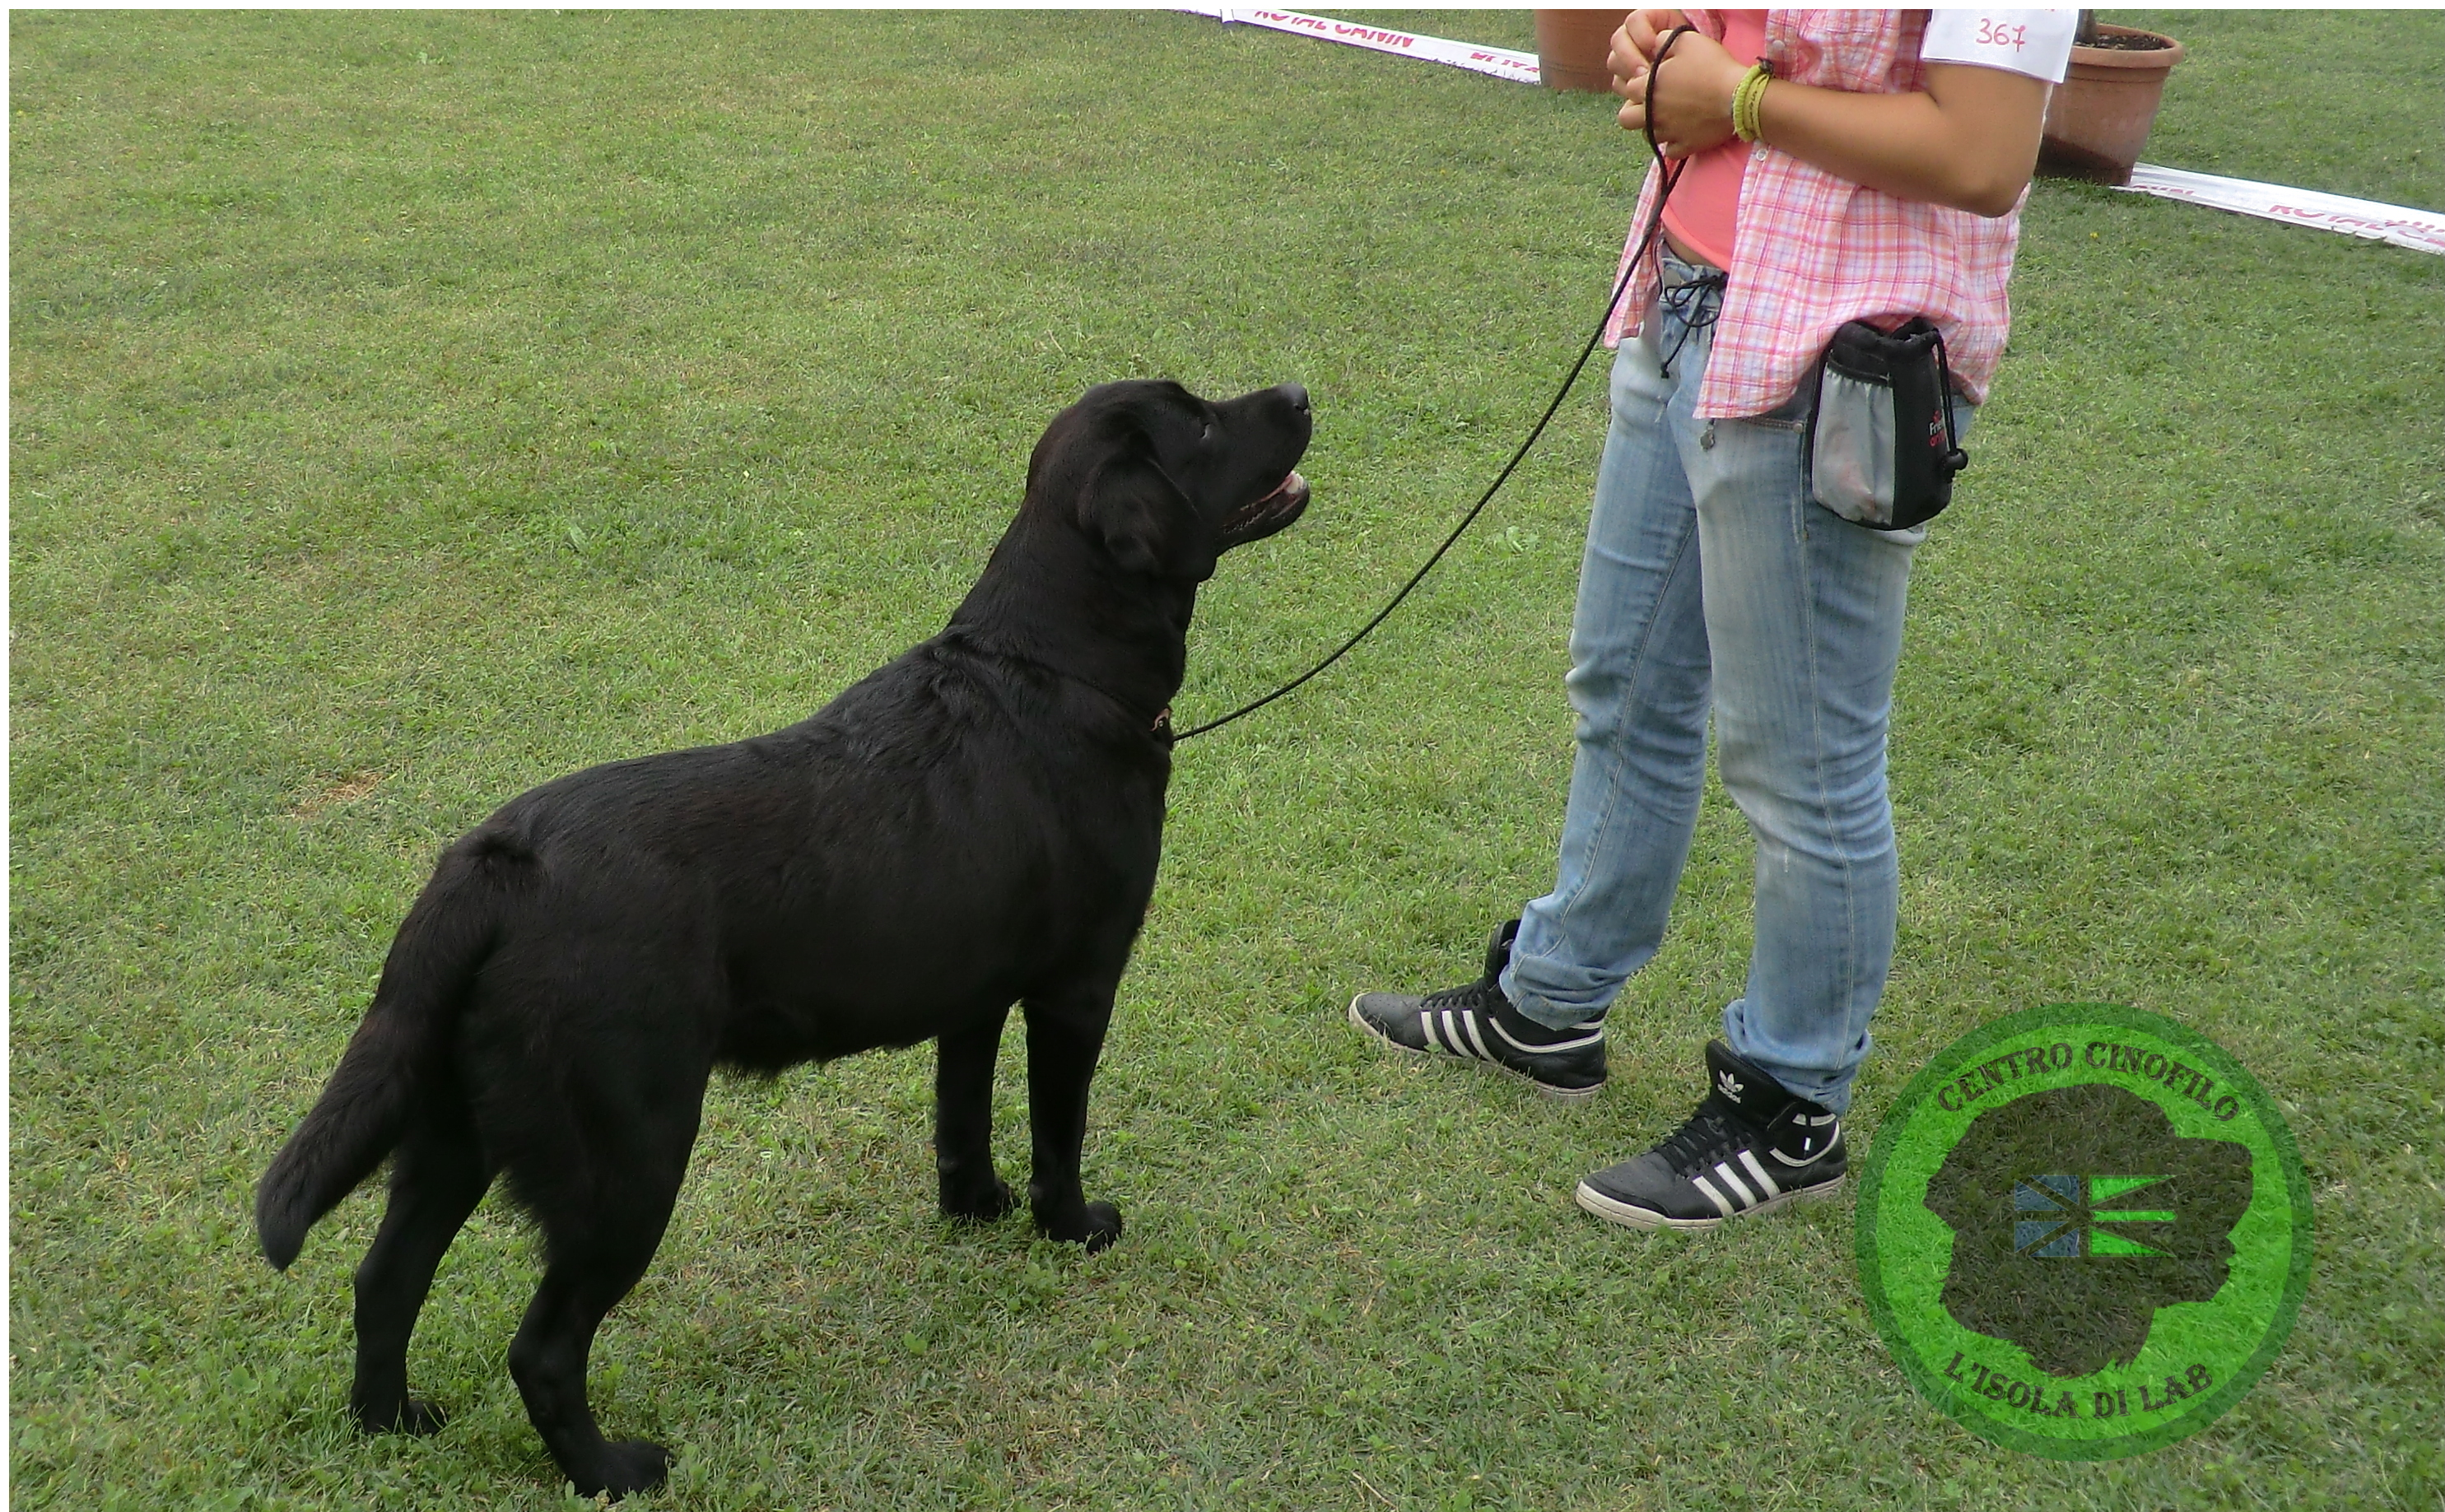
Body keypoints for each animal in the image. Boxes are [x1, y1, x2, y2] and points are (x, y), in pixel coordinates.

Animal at [255, 380, 1310, 1505]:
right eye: (1201, 425)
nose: (1297, 393)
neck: (1053, 664)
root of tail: (493, 866)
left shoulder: (975, 995)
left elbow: (962, 1118)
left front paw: (974, 1211)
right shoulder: (1075, 985)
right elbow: (1055, 1131)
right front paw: (1070, 1226)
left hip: (453, 1127)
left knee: (383, 1280)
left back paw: (391, 1423)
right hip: (626, 1157)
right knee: (540, 1347)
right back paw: (613, 1468)